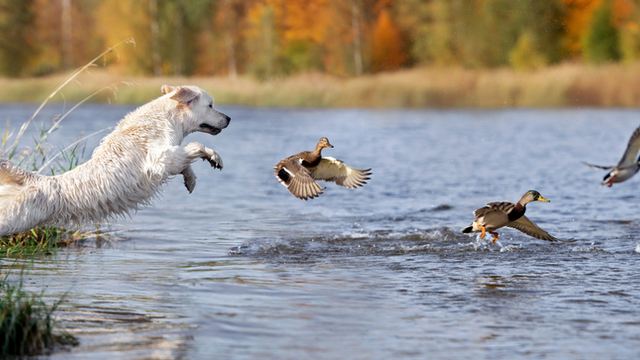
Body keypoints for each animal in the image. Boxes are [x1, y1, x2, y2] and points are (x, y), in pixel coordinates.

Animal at [0, 84, 230, 236]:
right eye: (210, 105)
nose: (229, 118)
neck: (167, 118)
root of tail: (32, 180)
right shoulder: (158, 160)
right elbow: (195, 146)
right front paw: (214, 156)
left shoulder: (168, 156)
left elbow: (185, 160)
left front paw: (190, 179)